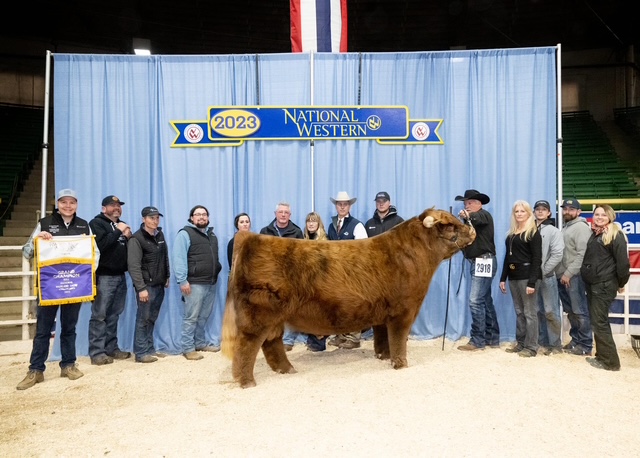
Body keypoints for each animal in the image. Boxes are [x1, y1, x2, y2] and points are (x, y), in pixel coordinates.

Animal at [221, 208, 476, 388]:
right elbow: (398, 339)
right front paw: (400, 364)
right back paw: (246, 381)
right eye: (450, 225)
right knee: (247, 345)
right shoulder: (403, 310)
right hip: (258, 315)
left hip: (274, 318)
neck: (412, 255)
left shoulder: (384, 313)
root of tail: (249, 237)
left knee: (271, 343)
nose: (472, 231)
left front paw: (383, 357)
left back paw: (287, 369)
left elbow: (383, 338)